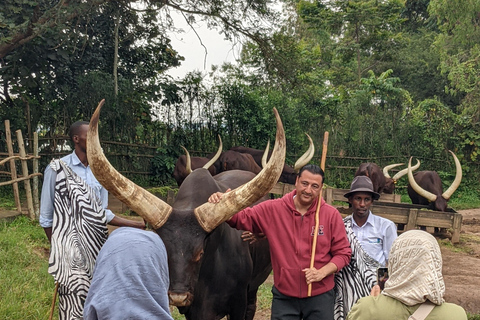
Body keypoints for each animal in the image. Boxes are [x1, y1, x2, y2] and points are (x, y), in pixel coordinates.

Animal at [87, 100, 284, 320]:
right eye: (164, 250)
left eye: (200, 252)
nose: (178, 297)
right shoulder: (194, 311)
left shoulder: (238, 303)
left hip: (253, 288)